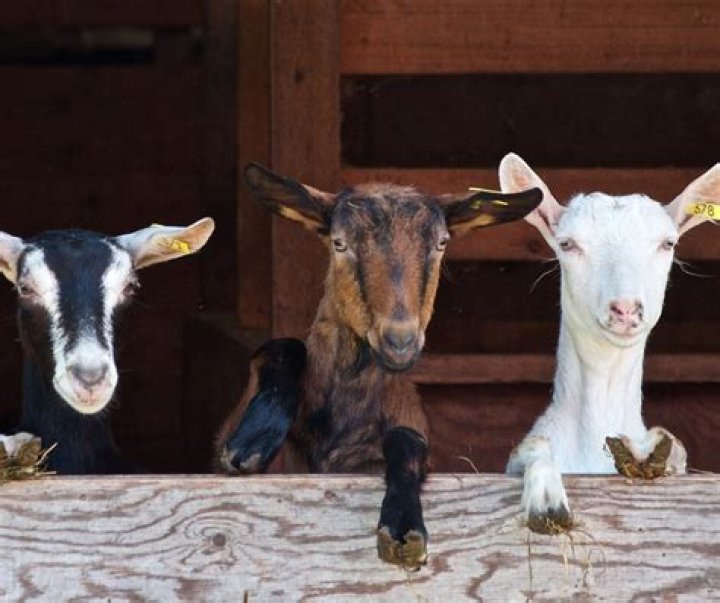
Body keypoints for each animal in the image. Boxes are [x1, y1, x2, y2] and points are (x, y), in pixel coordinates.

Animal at [216, 163, 542, 569]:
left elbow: (408, 441)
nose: (399, 340)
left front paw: (403, 526)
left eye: (441, 243)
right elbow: (281, 347)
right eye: (339, 243)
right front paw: (253, 440)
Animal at [501, 153, 716, 532]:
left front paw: (649, 452)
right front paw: (546, 499)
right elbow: (532, 447)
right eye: (567, 244)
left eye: (668, 243)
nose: (626, 308)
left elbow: (675, 449)